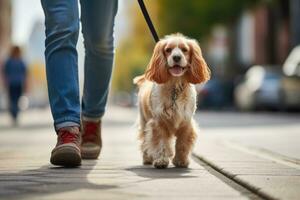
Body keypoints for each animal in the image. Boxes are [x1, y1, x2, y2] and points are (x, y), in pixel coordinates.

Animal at [134, 33, 211, 168]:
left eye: (185, 50)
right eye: (168, 50)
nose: (176, 57)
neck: (175, 86)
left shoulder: (186, 123)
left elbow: (182, 144)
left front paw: (181, 160)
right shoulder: (158, 123)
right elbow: (161, 143)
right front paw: (161, 160)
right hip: (144, 122)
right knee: (145, 141)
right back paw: (147, 158)